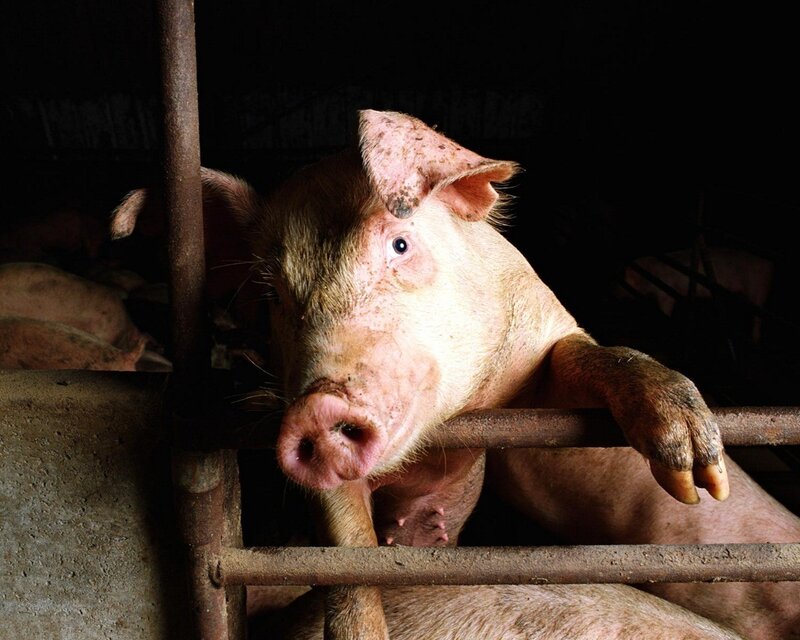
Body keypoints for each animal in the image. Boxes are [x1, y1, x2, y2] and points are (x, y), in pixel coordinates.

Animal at [111, 109, 799, 639]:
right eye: (271, 294)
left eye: (400, 244)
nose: (318, 405)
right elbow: (346, 553)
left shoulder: (540, 356)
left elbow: (593, 357)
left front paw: (696, 475)